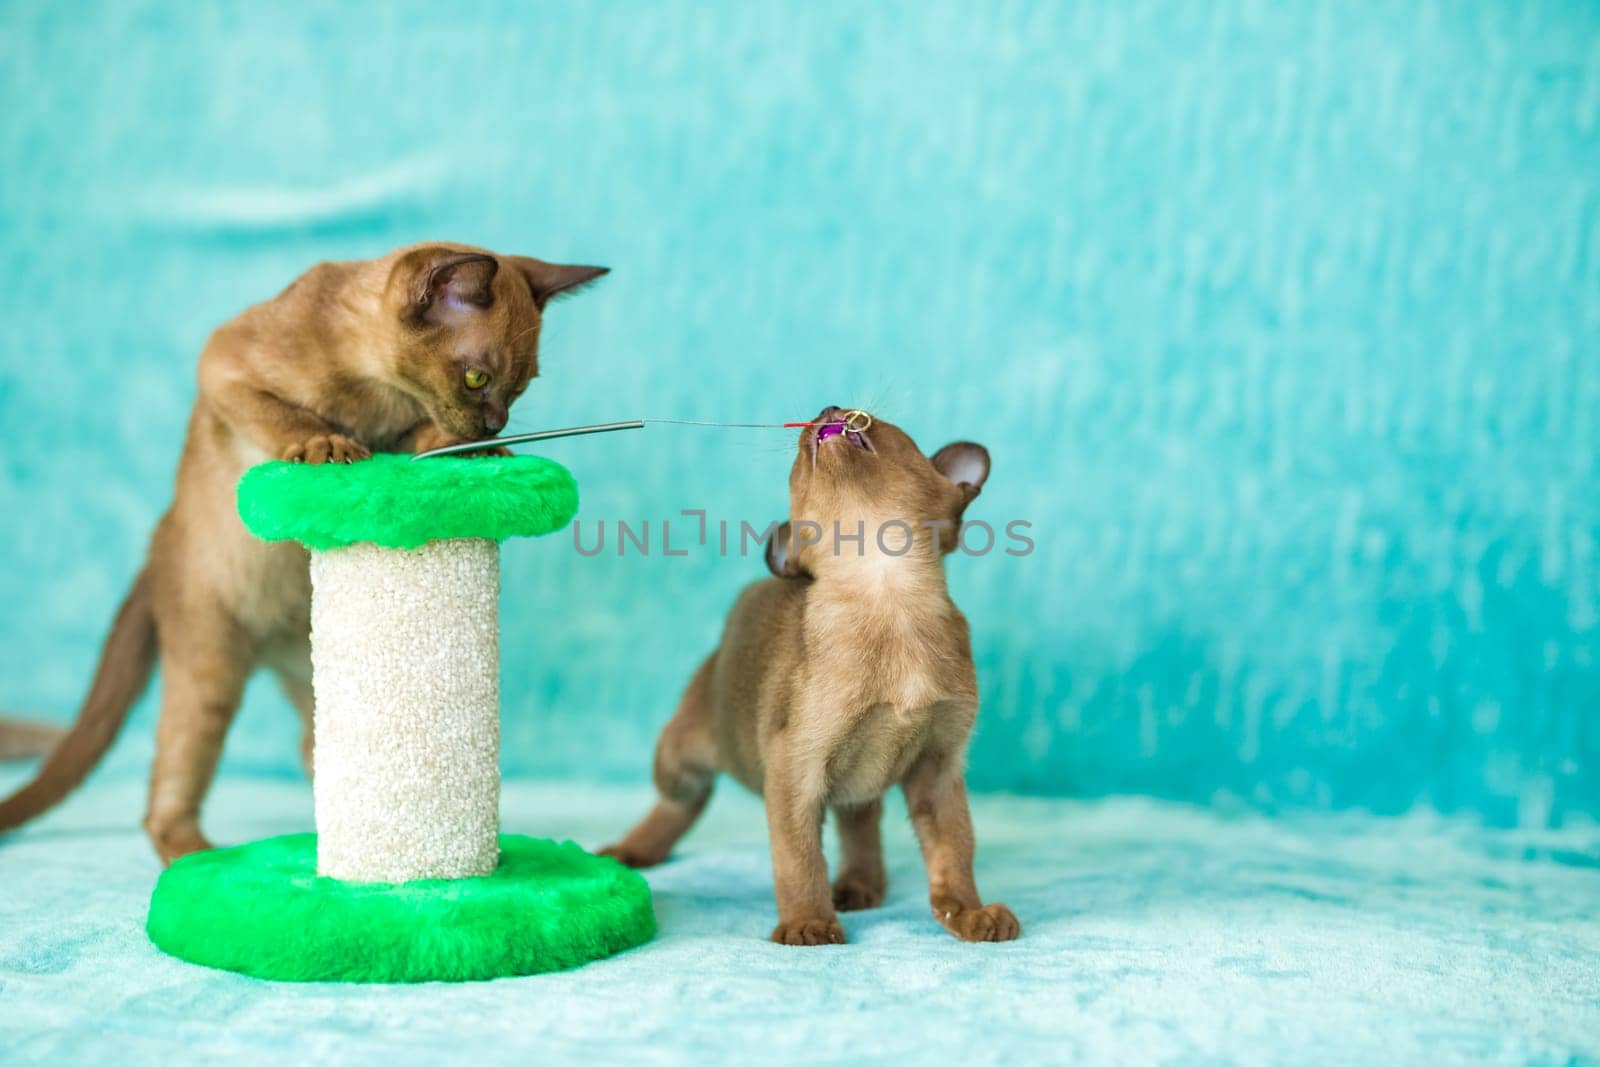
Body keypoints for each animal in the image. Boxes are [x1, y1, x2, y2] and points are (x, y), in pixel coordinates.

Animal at [0, 239, 604, 857]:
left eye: (520, 387)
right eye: (477, 378)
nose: (496, 426)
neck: (375, 398)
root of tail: (155, 546)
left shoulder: (398, 436)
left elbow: (420, 440)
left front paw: (479, 454)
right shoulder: (224, 363)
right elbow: (285, 414)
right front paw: (326, 445)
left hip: (317, 687)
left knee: (311, 753)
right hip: (209, 675)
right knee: (166, 795)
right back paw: (201, 860)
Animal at [604, 404, 1017, 947]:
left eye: (880, 425)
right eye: (797, 469)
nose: (830, 411)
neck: (888, 595)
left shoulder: (937, 769)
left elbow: (955, 853)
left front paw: (969, 915)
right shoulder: (795, 768)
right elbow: (799, 860)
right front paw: (808, 925)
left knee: (859, 822)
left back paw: (859, 888)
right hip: (679, 757)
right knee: (681, 803)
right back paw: (630, 854)